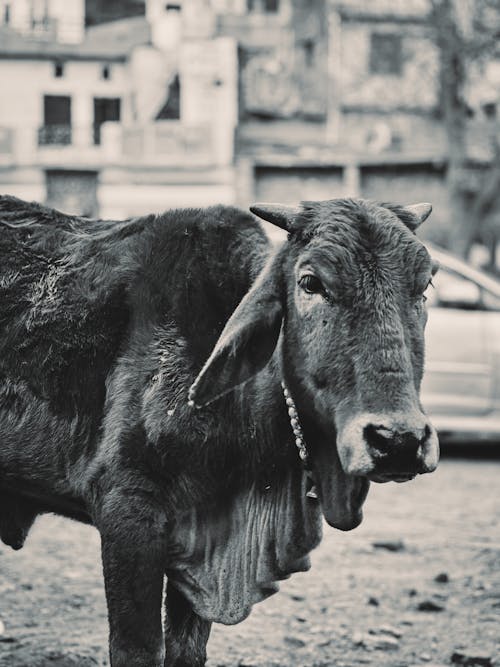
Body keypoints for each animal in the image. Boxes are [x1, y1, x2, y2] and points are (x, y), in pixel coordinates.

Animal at [0, 196, 438, 664]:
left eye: (425, 285)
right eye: (310, 282)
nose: (398, 441)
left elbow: (187, 650)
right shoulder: (127, 511)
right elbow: (137, 648)